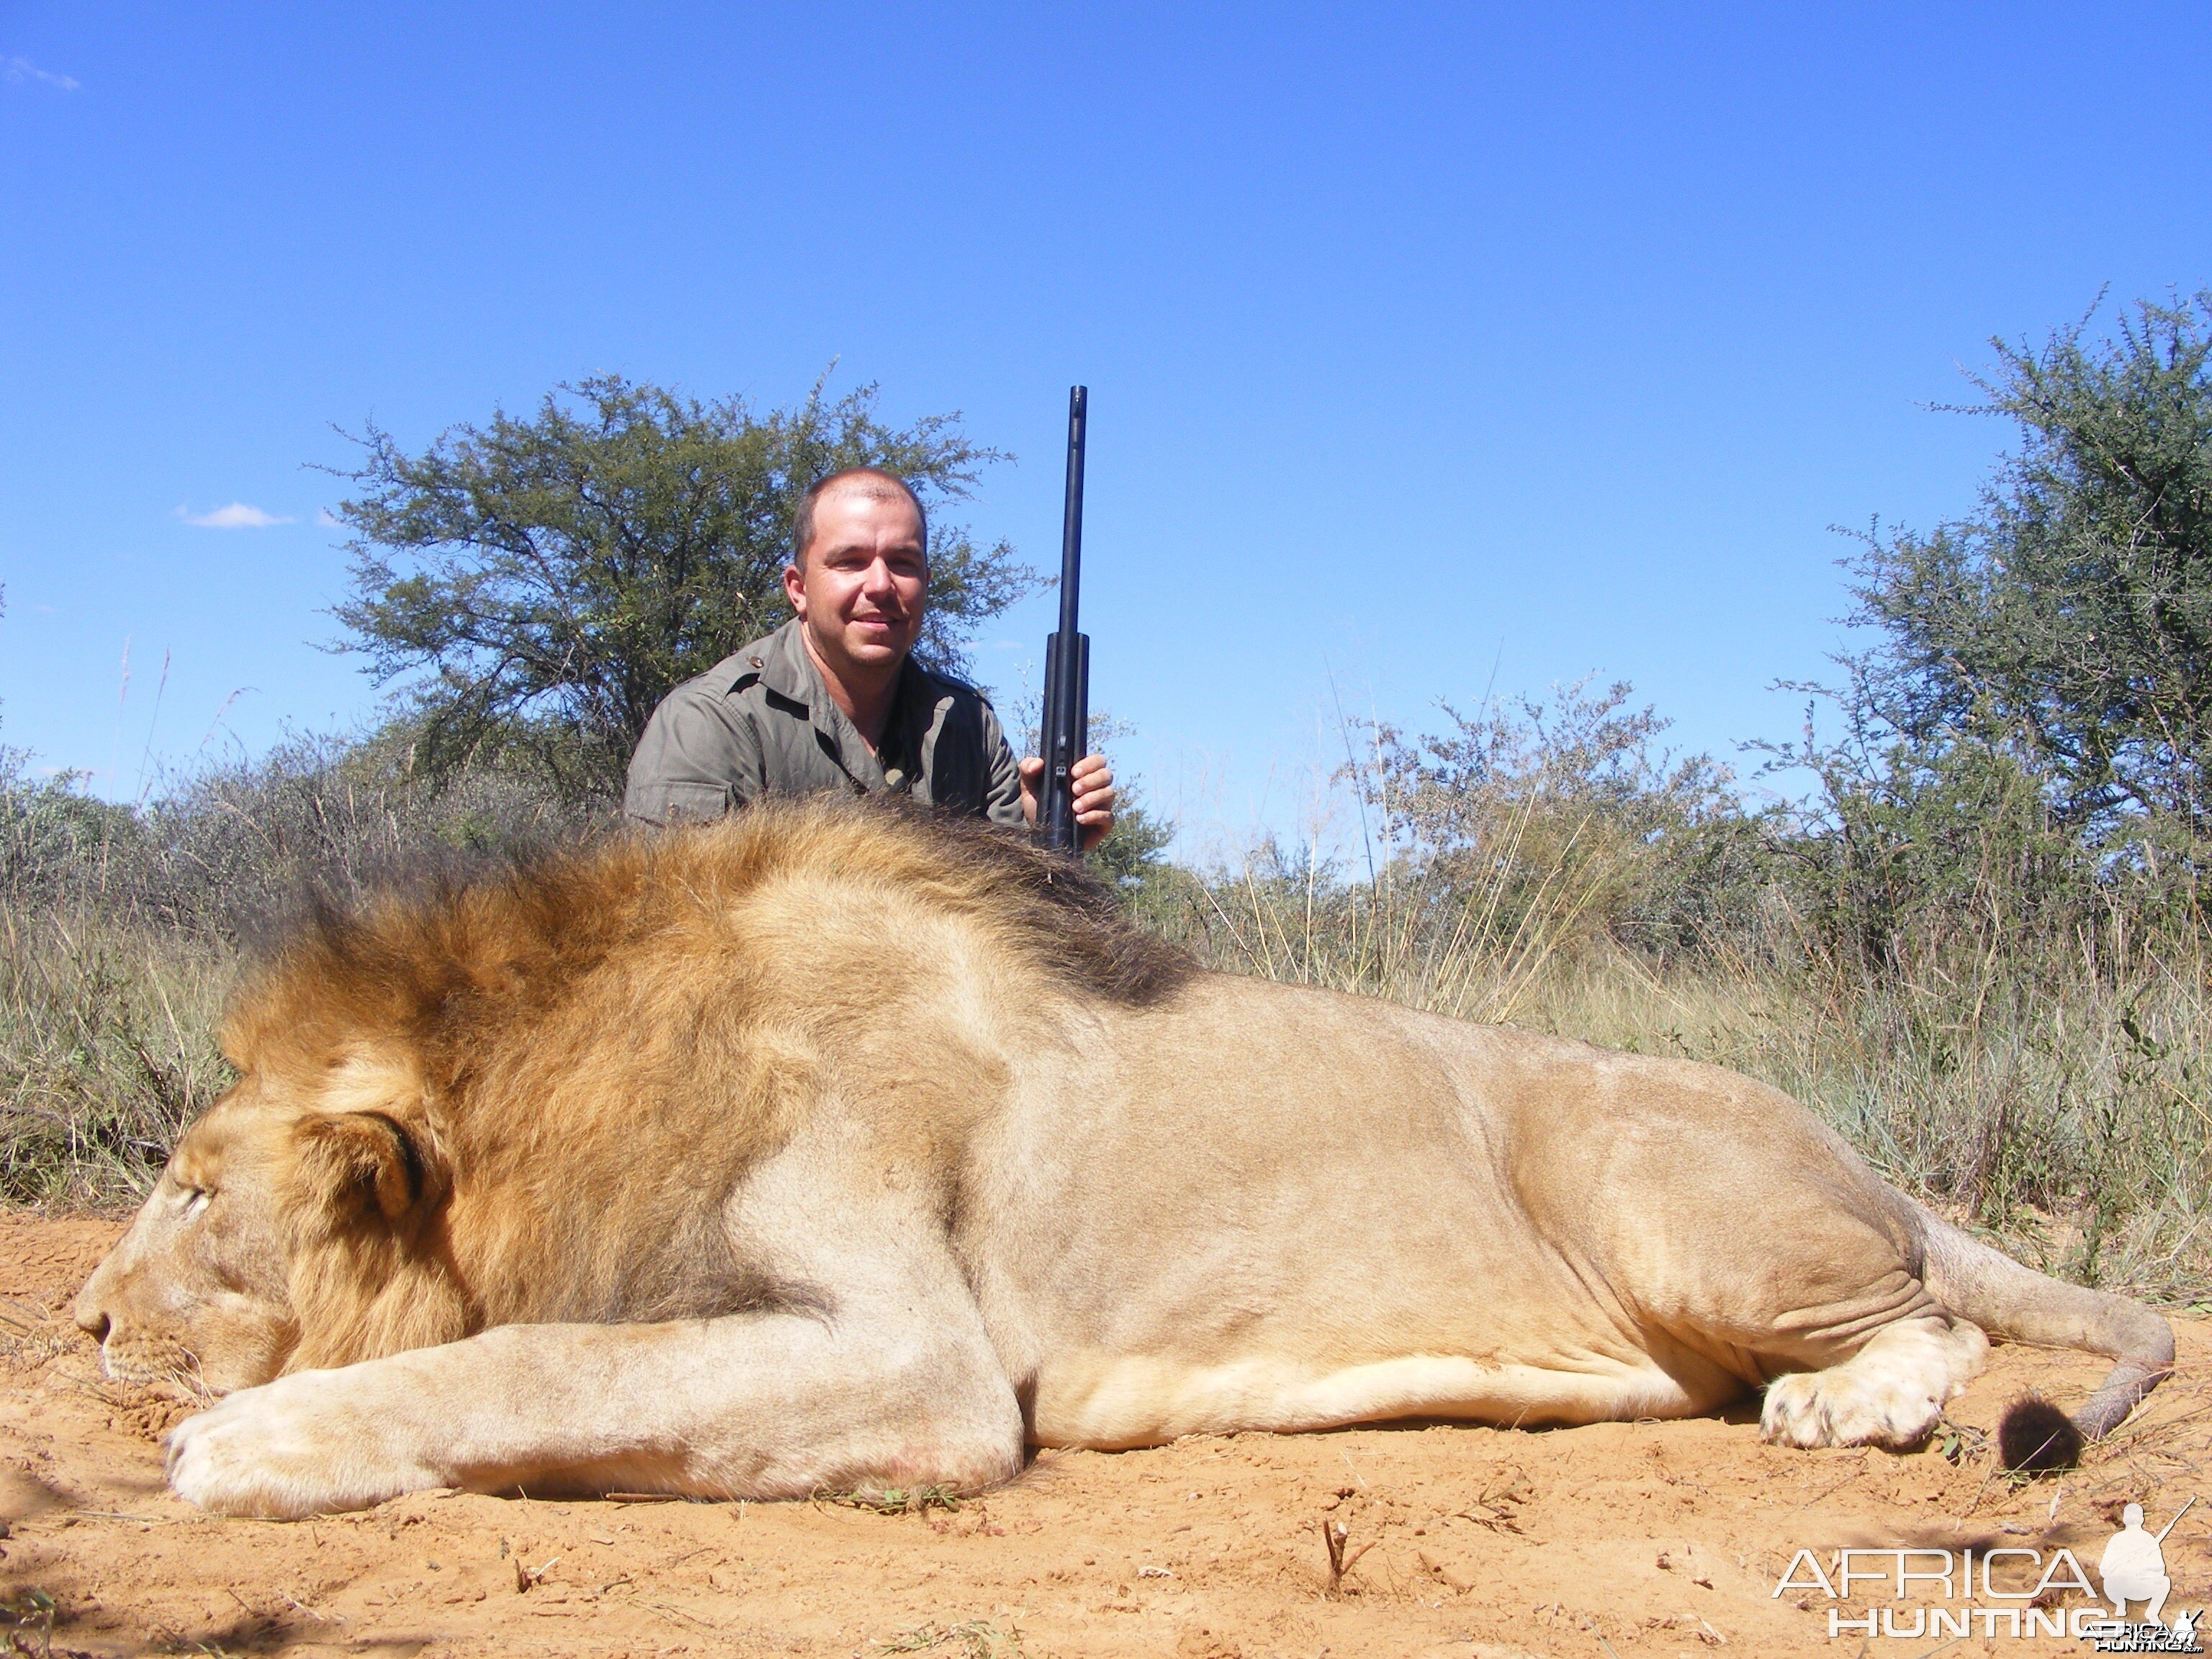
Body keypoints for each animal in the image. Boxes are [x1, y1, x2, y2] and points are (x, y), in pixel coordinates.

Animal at [78, 801, 2167, 1513]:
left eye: (189, 1188)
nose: (83, 1325)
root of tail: (1871, 1155)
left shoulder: (913, 1358)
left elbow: (526, 1365)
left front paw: (247, 1442)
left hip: (1665, 1191)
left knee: (1942, 1321)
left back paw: (1844, 1409)